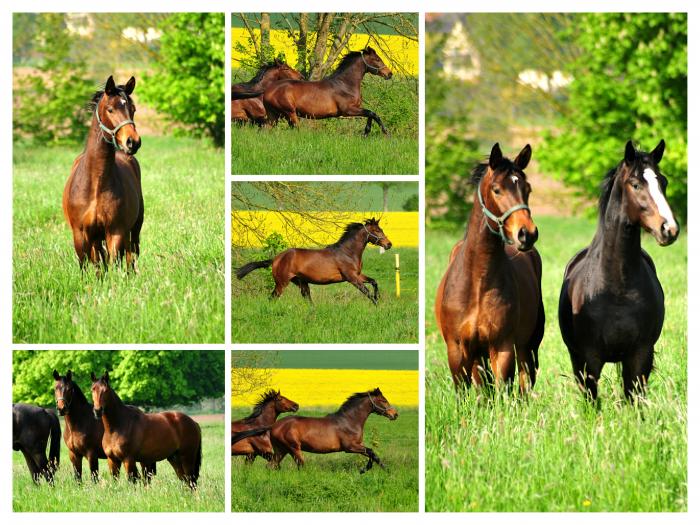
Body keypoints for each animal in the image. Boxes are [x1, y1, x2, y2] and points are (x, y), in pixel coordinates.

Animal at [63, 75, 144, 272]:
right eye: (110, 109)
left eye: (133, 109)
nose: (133, 142)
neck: (95, 184)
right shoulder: (81, 235)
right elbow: (88, 267)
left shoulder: (115, 232)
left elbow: (114, 263)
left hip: (134, 229)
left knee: (131, 258)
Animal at [237, 217, 392, 304]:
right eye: (377, 231)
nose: (389, 244)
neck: (347, 252)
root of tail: (276, 258)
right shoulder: (352, 278)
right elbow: (367, 293)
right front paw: (377, 305)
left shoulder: (358, 275)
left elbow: (374, 282)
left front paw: (378, 298)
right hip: (282, 283)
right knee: (272, 298)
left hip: (301, 282)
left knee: (307, 300)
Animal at [262, 47, 394, 136]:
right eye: (377, 59)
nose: (389, 74)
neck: (345, 85)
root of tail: (268, 91)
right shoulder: (348, 110)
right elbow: (373, 113)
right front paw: (386, 133)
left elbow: (370, 114)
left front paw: (366, 133)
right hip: (290, 113)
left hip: (274, 115)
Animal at [434, 141, 544, 390]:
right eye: (497, 189)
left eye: (528, 189)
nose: (527, 234)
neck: (477, 282)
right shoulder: (458, 351)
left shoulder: (502, 347)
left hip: (527, 348)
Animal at [556, 139, 680, 402]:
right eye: (635, 184)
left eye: (663, 182)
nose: (669, 229)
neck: (616, 287)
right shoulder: (589, 360)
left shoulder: (640, 356)